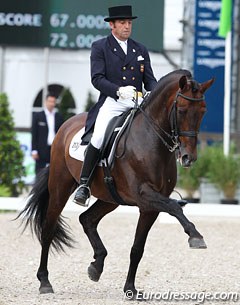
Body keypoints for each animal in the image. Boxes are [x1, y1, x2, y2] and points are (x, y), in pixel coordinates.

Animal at [17, 68, 215, 296]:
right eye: (181, 110)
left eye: (203, 111)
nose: (188, 158)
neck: (151, 140)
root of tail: (66, 125)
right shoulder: (144, 194)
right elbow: (175, 207)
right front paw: (195, 236)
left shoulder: (149, 207)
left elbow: (137, 248)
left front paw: (130, 289)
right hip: (60, 187)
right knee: (48, 229)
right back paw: (45, 282)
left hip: (110, 197)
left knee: (87, 219)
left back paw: (96, 266)